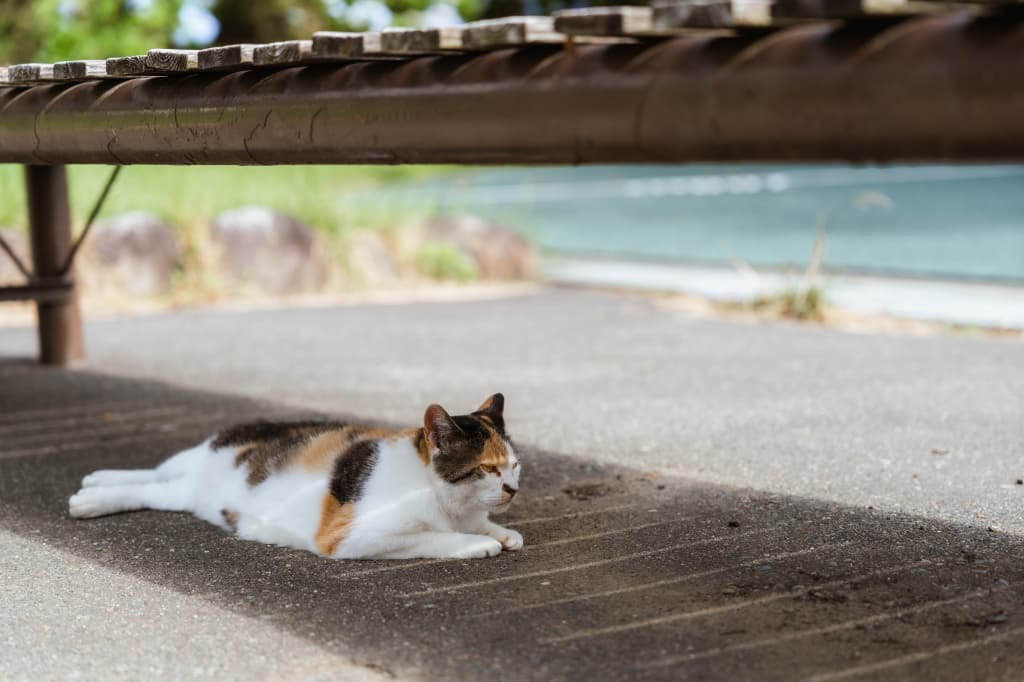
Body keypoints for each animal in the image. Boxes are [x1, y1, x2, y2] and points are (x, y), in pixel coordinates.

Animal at [68, 393, 524, 557]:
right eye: (487, 468)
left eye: (515, 466)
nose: (513, 490)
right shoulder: (349, 537)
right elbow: (432, 537)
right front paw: (476, 544)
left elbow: (483, 523)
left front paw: (500, 532)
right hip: (195, 467)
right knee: (150, 486)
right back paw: (91, 498)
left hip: (189, 480)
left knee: (155, 477)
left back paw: (97, 479)